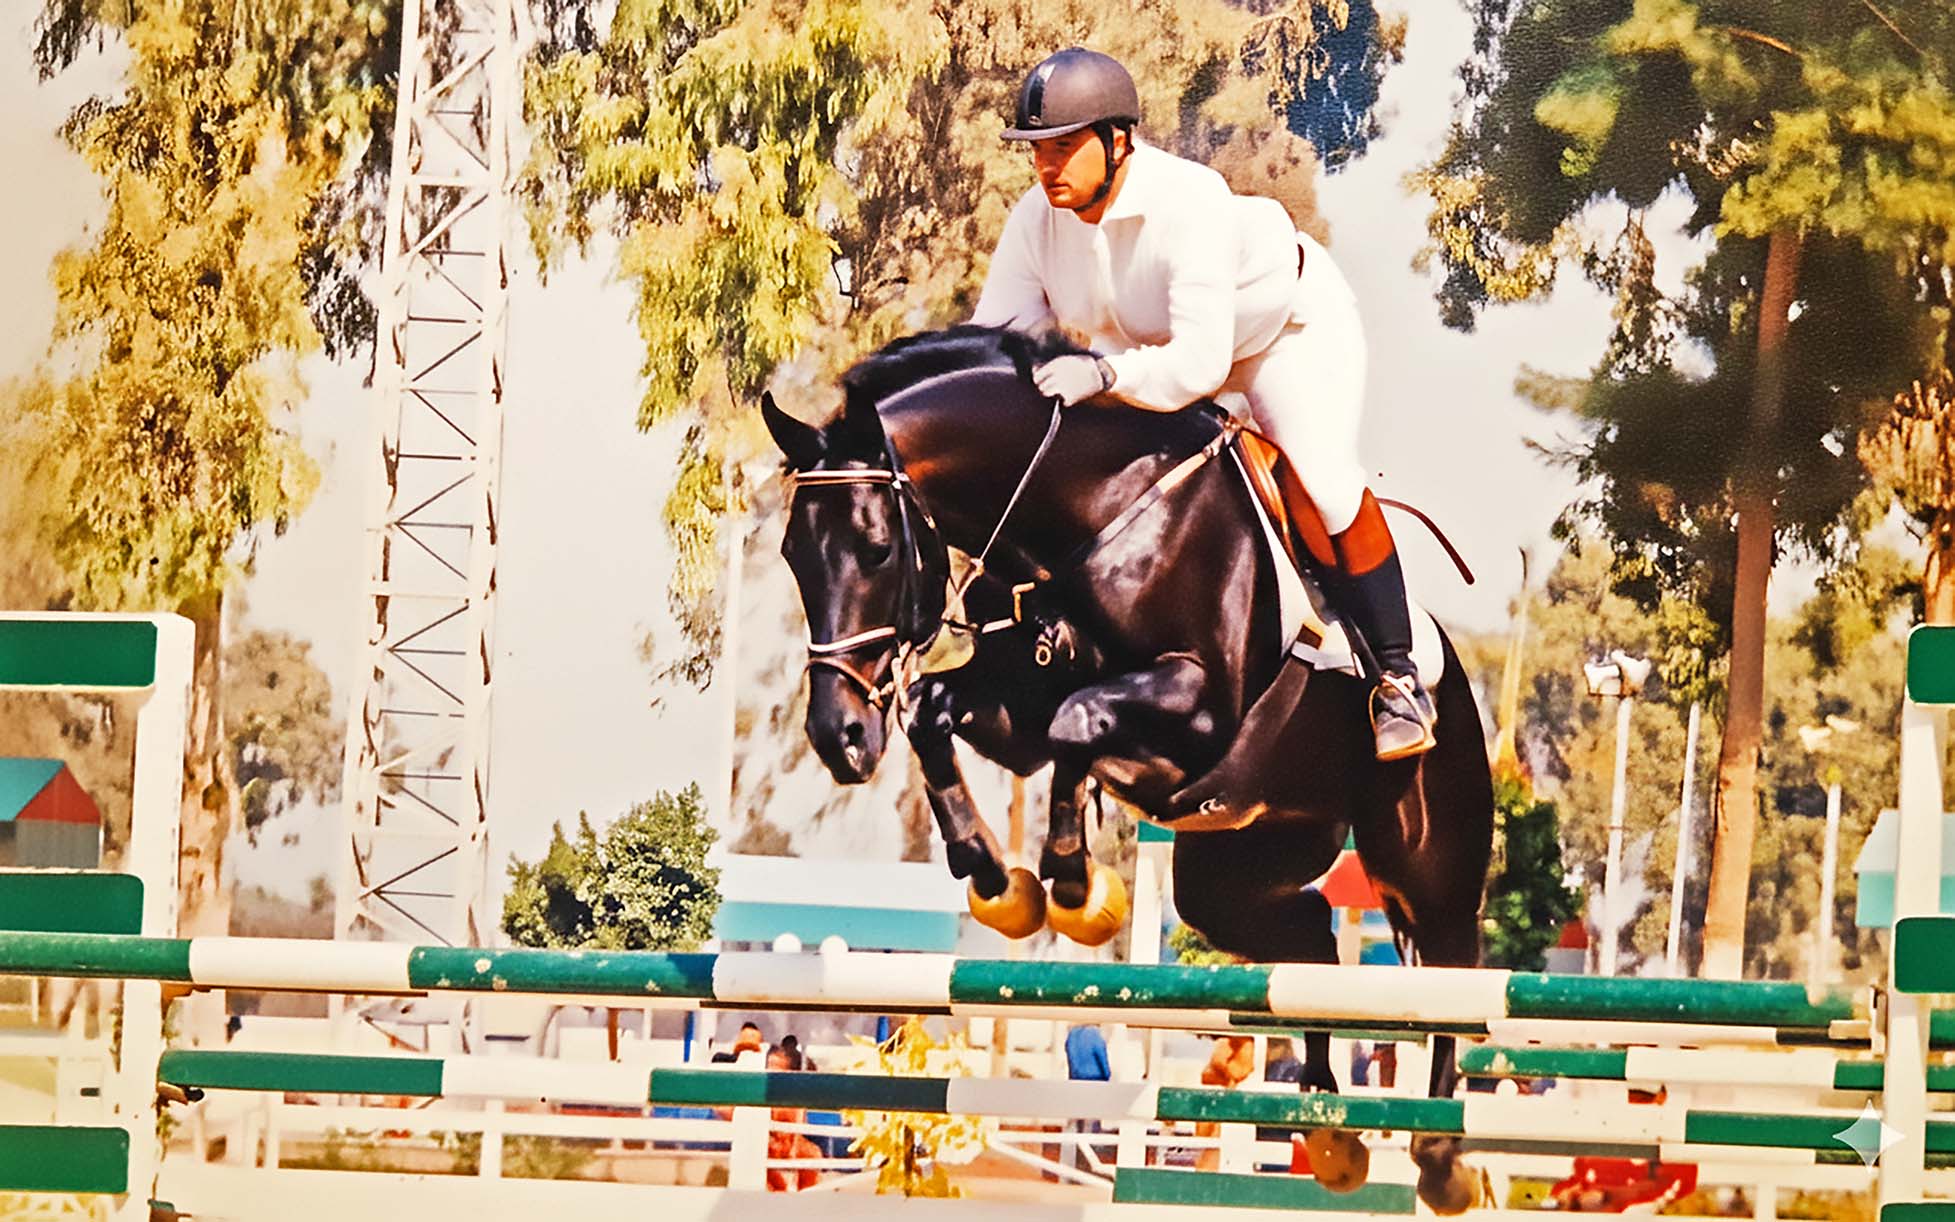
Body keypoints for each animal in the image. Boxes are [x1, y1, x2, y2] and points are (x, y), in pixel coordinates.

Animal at [764, 324, 1495, 1212]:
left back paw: (1439, 1157)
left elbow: (1076, 720)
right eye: (792, 555)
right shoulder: (1013, 708)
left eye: (875, 550)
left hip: (1422, 860)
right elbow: (941, 713)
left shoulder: (1199, 705)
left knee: (1450, 969)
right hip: (1236, 868)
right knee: (1313, 946)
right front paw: (994, 877)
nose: (837, 735)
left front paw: (1074, 886)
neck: (1091, 512)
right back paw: (1328, 1128)